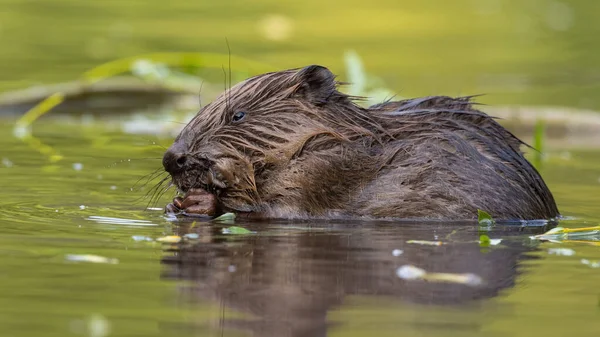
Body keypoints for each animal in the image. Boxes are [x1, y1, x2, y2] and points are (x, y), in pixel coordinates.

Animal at [162, 65, 560, 220]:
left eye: (238, 115)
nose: (172, 158)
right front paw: (176, 204)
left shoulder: (327, 169)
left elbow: (281, 207)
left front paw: (197, 201)